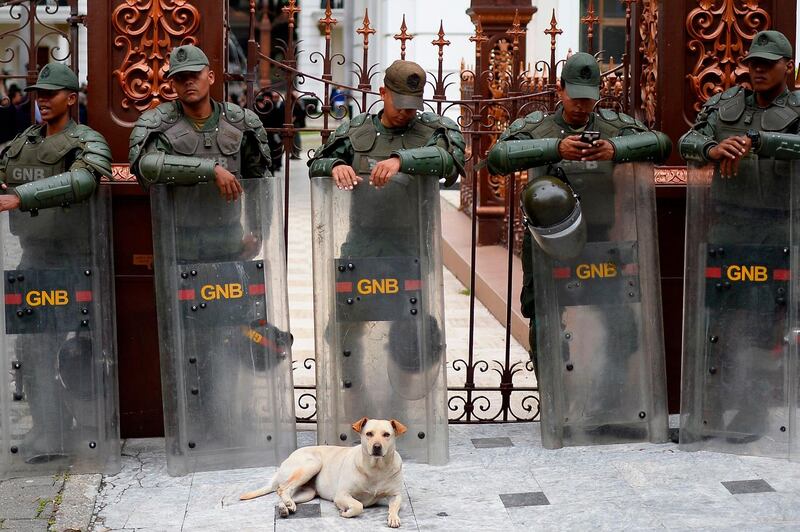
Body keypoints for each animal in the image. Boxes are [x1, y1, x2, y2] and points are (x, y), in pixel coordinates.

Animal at [239, 416, 406, 528]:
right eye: (369, 434)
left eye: (386, 434)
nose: (377, 447)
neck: (376, 468)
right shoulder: (342, 495)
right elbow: (358, 505)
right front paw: (345, 511)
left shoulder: (395, 495)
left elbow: (394, 506)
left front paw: (393, 518)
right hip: (312, 464)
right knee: (283, 488)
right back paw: (286, 504)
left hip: (308, 493)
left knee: (283, 497)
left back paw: (285, 507)